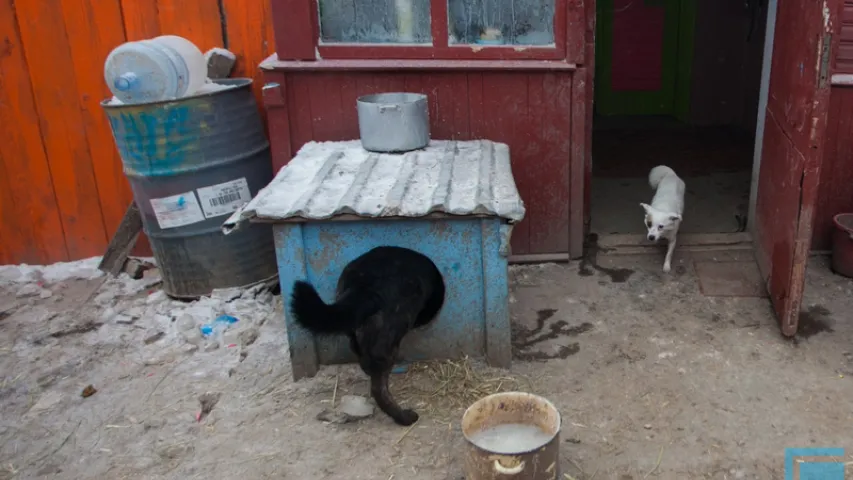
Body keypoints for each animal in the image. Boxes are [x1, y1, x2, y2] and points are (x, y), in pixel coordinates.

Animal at [288, 246, 446, 426]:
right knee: (379, 386)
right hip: (391, 334)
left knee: (363, 357)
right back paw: (403, 417)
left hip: (357, 332)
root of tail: (364, 286)